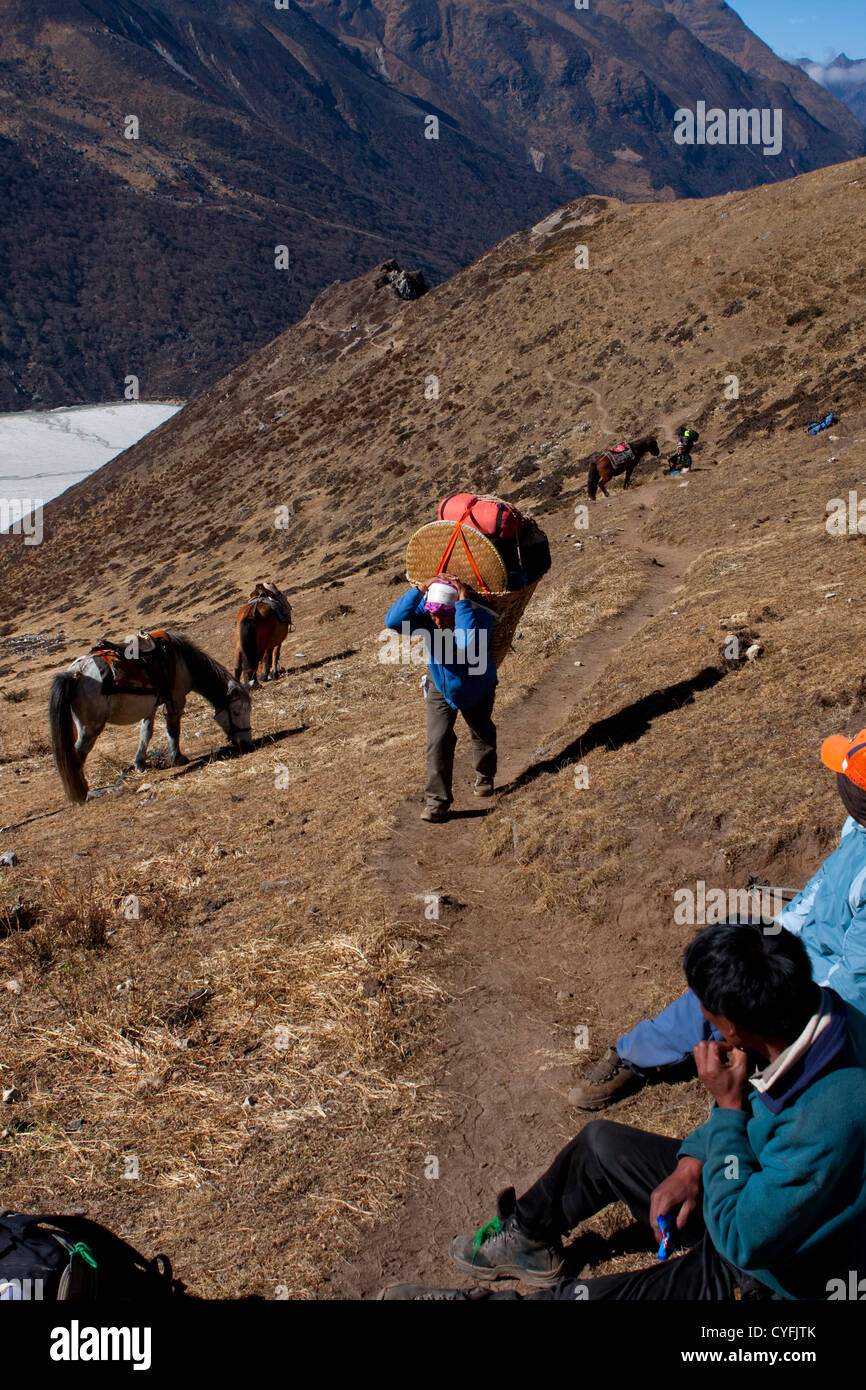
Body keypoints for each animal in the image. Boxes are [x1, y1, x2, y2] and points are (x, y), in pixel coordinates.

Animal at [50, 631, 252, 806]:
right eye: (237, 712)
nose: (247, 744)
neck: (183, 661)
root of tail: (75, 673)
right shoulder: (176, 700)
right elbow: (173, 730)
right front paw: (178, 758)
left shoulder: (151, 706)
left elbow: (146, 732)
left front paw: (140, 764)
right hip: (90, 728)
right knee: (77, 755)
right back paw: (85, 793)